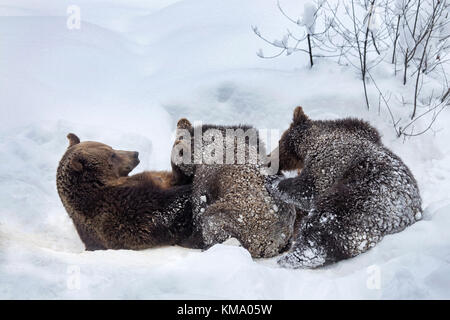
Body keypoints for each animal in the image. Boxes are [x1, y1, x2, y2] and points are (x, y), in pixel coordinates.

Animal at [268, 107, 422, 268]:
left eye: (280, 141)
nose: (268, 161)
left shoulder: (330, 161)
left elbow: (307, 189)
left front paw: (275, 181)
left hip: (362, 200)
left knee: (323, 222)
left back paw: (294, 257)